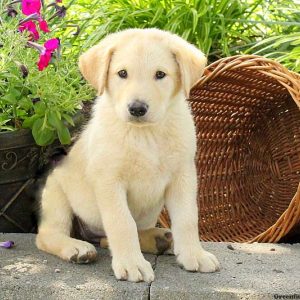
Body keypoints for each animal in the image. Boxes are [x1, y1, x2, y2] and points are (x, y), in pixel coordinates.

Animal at [37, 27, 220, 282]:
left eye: (160, 74)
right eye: (122, 73)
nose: (137, 108)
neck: (145, 135)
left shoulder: (183, 175)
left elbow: (187, 218)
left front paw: (194, 254)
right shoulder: (109, 181)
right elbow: (122, 223)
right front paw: (132, 264)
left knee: (109, 238)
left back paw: (158, 238)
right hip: (56, 192)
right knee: (46, 234)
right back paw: (77, 248)